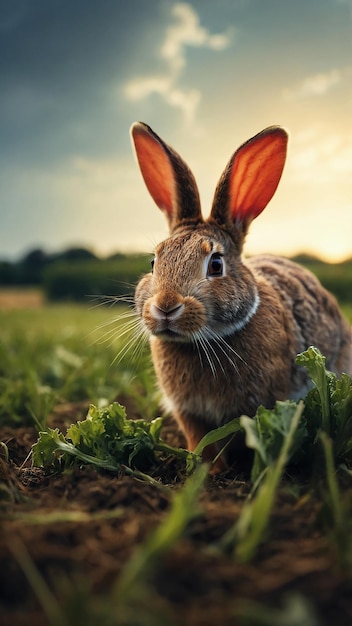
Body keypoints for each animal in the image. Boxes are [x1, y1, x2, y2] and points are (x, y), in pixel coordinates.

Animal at [131, 122, 350, 470]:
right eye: (154, 262)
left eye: (216, 264)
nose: (166, 306)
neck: (202, 341)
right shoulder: (188, 412)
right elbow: (201, 440)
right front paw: (207, 469)